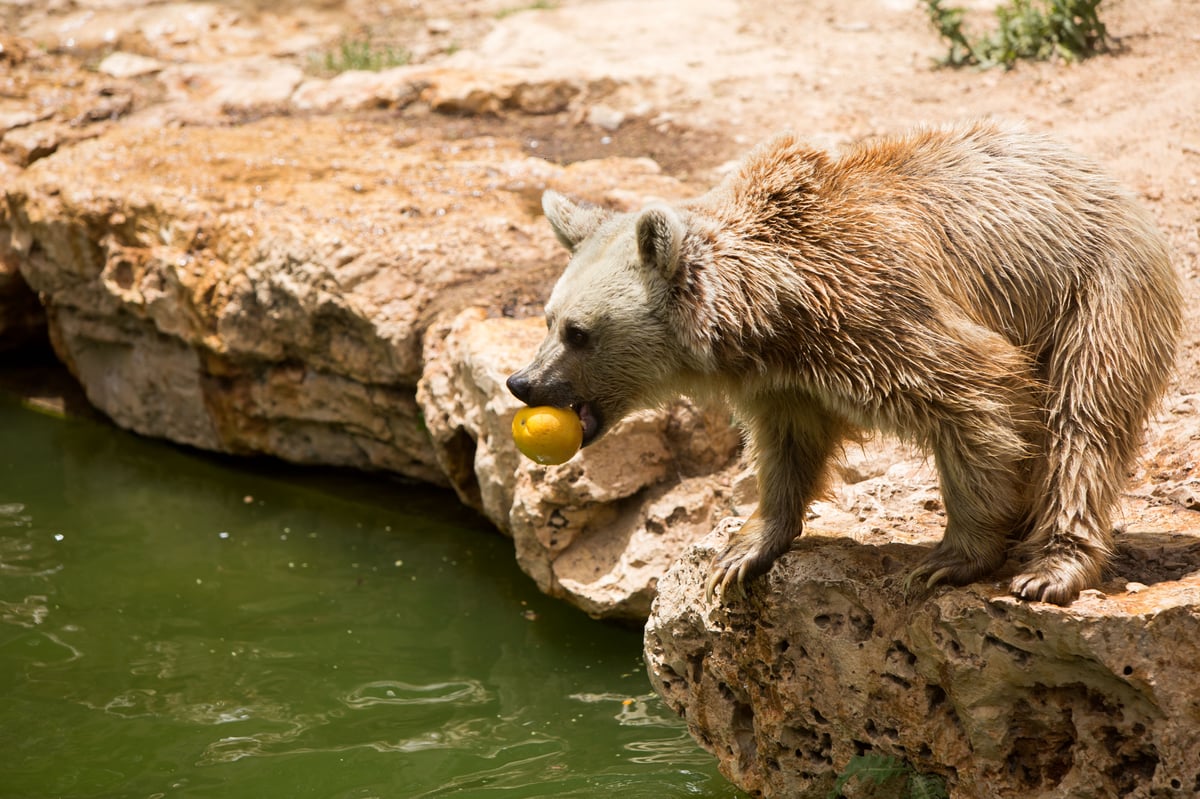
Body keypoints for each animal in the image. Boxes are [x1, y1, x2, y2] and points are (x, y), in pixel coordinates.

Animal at [506, 121, 1180, 599]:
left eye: (578, 332)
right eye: (548, 319)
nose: (522, 382)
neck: (775, 314)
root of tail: (1112, 184)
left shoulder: (874, 310)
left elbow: (978, 393)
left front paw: (948, 560)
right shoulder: (785, 382)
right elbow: (788, 447)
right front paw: (742, 551)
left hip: (1097, 292)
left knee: (1085, 419)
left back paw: (1052, 566)